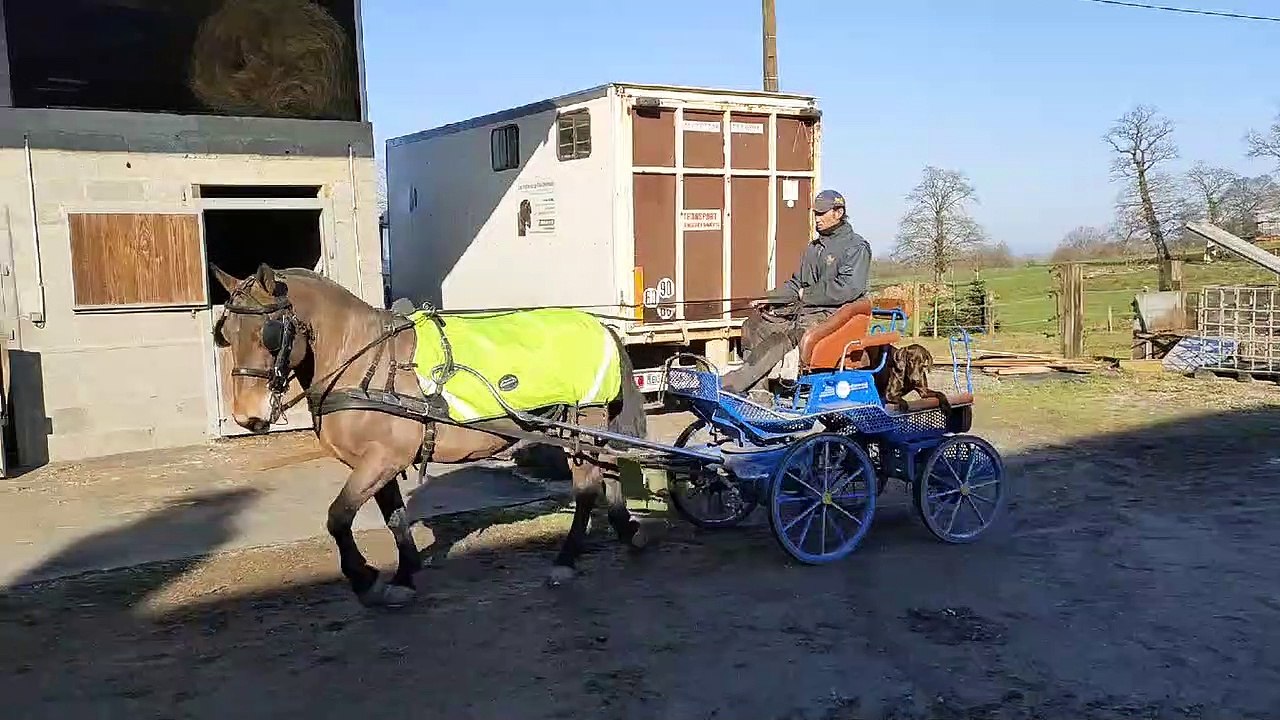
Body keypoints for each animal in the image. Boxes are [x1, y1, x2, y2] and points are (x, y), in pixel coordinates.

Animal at [209, 262, 650, 608]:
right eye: (226, 333)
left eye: (269, 334)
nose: (247, 416)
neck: (365, 363)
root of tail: (602, 325)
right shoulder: (379, 462)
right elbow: (395, 518)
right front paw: (403, 575)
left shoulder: (383, 459)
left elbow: (338, 517)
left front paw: (365, 579)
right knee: (608, 472)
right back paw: (625, 528)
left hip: (583, 419)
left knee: (588, 486)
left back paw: (568, 558)